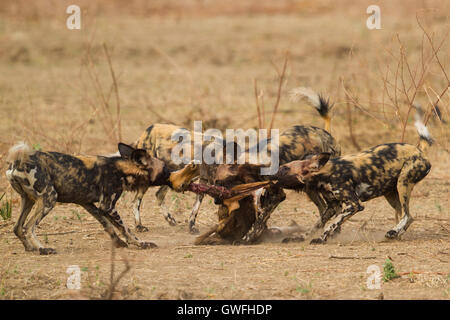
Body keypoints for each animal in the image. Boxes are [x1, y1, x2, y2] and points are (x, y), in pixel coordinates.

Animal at [276, 109, 434, 244]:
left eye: (284, 168)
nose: (272, 173)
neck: (326, 174)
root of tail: (420, 151)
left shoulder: (354, 205)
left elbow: (331, 224)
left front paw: (321, 239)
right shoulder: (332, 206)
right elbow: (318, 224)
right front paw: (302, 237)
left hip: (403, 184)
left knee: (408, 216)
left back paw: (394, 232)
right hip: (391, 193)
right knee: (402, 215)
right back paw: (395, 234)